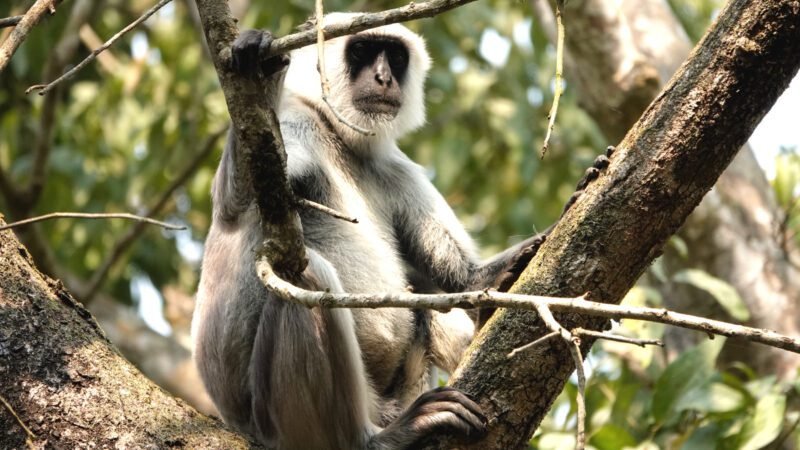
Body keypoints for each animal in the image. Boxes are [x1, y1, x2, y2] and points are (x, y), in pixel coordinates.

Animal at [192, 13, 610, 449]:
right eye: (361, 50)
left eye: (394, 56)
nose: (383, 78)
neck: (336, 136)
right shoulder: (294, 121)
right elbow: (235, 203)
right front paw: (258, 71)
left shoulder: (391, 166)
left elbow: (466, 280)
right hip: (277, 421)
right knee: (304, 275)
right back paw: (372, 439)